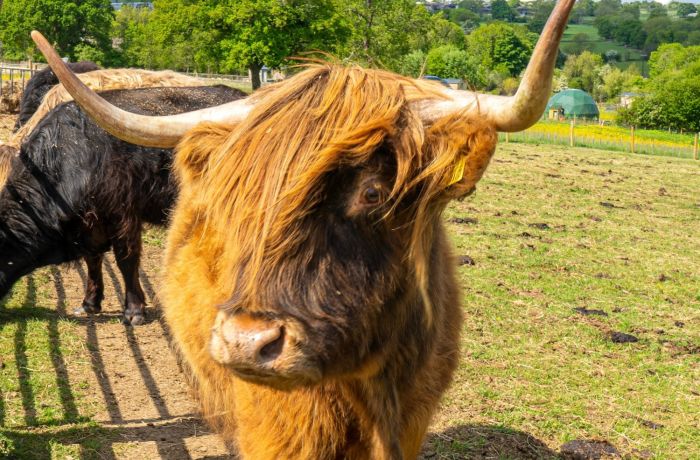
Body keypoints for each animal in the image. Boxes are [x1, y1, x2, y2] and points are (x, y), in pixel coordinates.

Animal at [0, 84, 246, 325]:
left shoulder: (122, 215)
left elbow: (126, 259)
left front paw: (134, 310)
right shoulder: (91, 223)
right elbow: (93, 260)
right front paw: (90, 303)